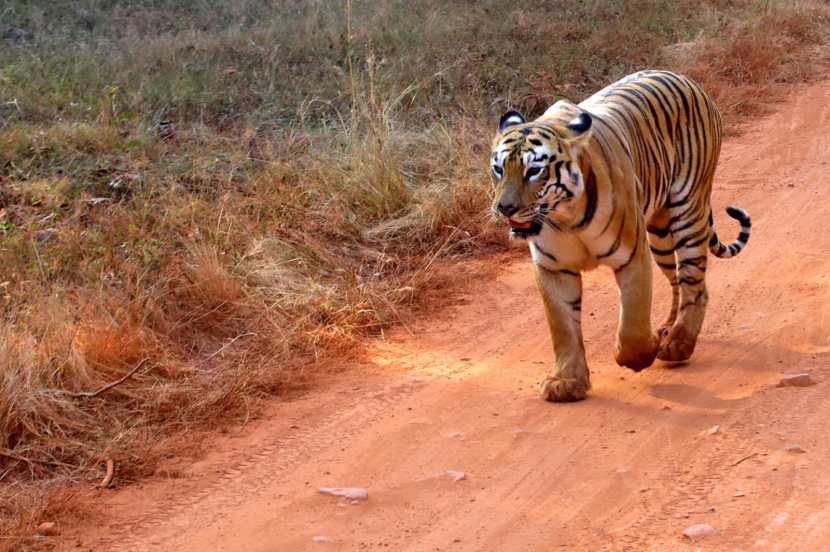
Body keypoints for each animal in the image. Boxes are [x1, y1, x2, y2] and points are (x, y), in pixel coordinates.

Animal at [490, 71, 756, 404]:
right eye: (498, 169)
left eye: (534, 171)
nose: (504, 208)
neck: (565, 218)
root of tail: (683, 78)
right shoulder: (553, 268)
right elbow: (563, 328)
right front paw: (566, 381)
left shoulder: (632, 255)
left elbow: (633, 323)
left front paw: (641, 355)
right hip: (659, 234)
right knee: (677, 281)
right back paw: (668, 329)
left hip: (687, 213)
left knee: (695, 285)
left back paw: (677, 344)